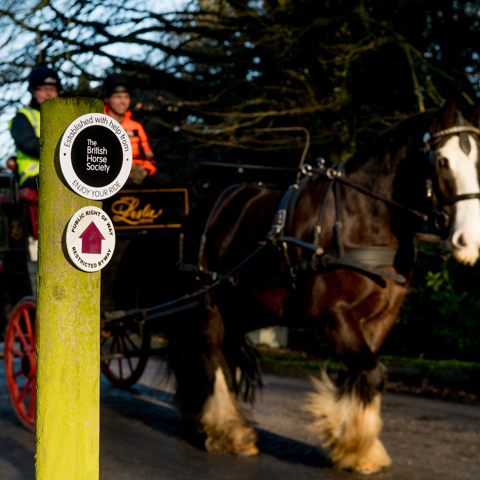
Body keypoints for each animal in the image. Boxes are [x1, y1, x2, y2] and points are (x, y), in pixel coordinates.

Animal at [167, 101, 480, 472]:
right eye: (443, 161)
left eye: (479, 162)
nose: (469, 240)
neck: (362, 217)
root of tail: (203, 207)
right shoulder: (333, 314)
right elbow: (372, 372)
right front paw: (357, 447)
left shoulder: (380, 320)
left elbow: (358, 374)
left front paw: (352, 444)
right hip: (207, 301)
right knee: (211, 354)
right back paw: (231, 432)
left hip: (243, 306)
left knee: (218, 354)